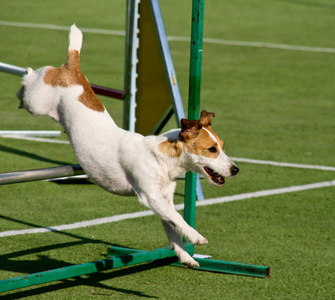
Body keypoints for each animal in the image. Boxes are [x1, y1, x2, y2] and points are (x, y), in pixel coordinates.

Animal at [17, 24, 239, 266]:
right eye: (212, 149)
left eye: (222, 146)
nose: (236, 169)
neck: (162, 159)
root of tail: (71, 68)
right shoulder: (150, 196)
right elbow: (178, 217)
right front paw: (195, 236)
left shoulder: (164, 199)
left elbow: (171, 226)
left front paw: (185, 256)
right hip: (36, 102)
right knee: (32, 77)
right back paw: (25, 75)